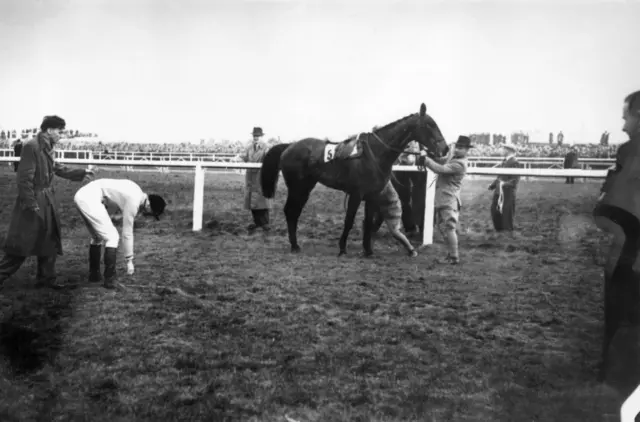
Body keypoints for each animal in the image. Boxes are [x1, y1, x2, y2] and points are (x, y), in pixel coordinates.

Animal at [258, 104, 448, 256]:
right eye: (430, 125)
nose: (445, 149)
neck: (375, 153)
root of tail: (288, 146)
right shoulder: (356, 194)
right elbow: (349, 220)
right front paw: (342, 248)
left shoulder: (372, 196)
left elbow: (368, 222)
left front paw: (368, 250)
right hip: (298, 188)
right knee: (290, 211)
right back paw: (294, 245)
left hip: (305, 187)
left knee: (293, 212)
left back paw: (295, 244)